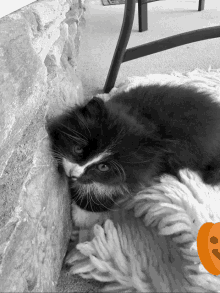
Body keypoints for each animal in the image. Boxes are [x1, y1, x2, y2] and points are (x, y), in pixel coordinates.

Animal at [47, 83, 220, 216]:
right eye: (78, 148)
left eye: (103, 167)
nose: (72, 173)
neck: (140, 118)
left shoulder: (144, 170)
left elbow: (112, 188)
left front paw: (85, 209)